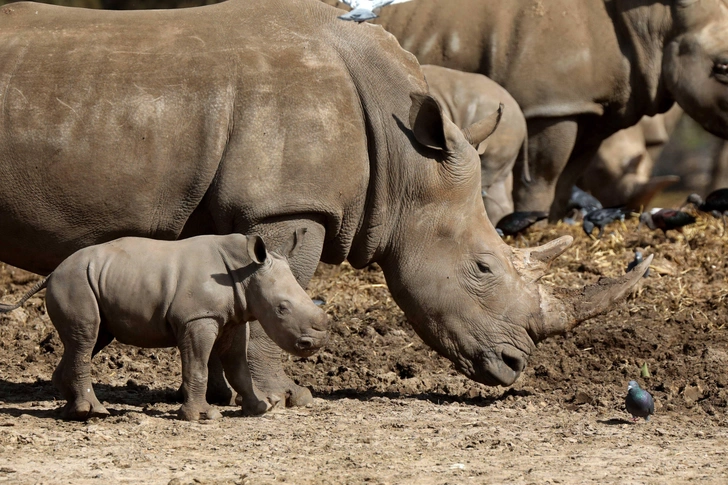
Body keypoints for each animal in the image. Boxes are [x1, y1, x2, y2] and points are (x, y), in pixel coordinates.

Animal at [0, 231, 328, 420]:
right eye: (282, 308)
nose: (315, 344)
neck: (245, 272)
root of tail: (51, 273)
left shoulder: (233, 317)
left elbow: (238, 366)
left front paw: (260, 409)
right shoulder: (198, 318)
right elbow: (198, 365)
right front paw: (203, 417)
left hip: (87, 280)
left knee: (89, 340)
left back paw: (70, 411)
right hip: (74, 281)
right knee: (86, 339)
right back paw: (92, 413)